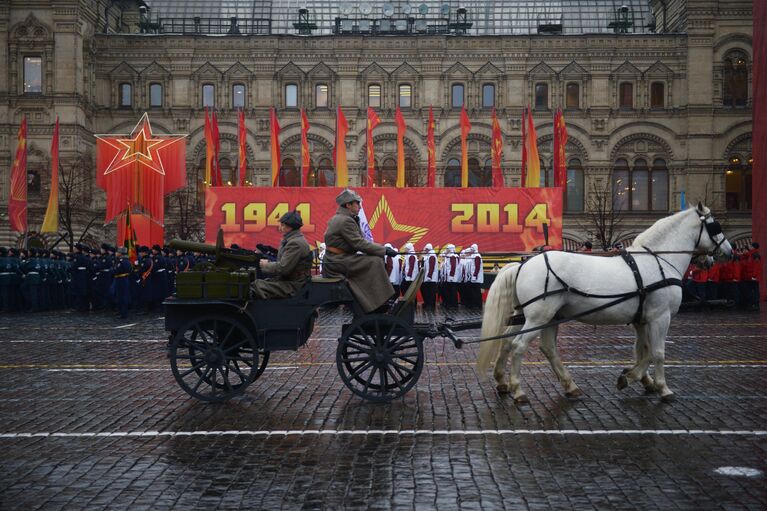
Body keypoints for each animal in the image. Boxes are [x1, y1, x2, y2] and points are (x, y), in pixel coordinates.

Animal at [476, 204, 736, 404]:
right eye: (716, 226)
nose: (728, 252)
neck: (658, 260)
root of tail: (523, 264)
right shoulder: (660, 317)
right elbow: (658, 352)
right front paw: (662, 387)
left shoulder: (642, 319)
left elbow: (643, 351)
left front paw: (637, 378)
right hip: (539, 316)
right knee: (518, 346)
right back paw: (518, 389)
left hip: (541, 316)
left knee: (526, 345)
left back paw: (557, 385)